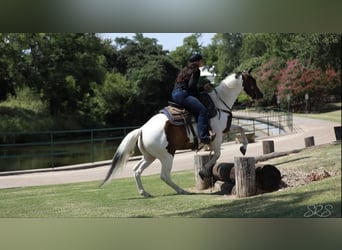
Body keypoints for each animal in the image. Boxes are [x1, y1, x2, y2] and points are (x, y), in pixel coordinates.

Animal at [100, 69, 264, 197]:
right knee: (164, 175)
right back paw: (181, 190)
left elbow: (241, 130)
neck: (219, 104)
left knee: (136, 170)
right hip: (167, 156)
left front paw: (243, 148)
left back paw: (145, 193)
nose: (260, 95)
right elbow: (217, 154)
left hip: (149, 156)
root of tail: (142, 130)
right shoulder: (217, 136)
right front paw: (203, 172)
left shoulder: (225, 129)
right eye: (252, 81)